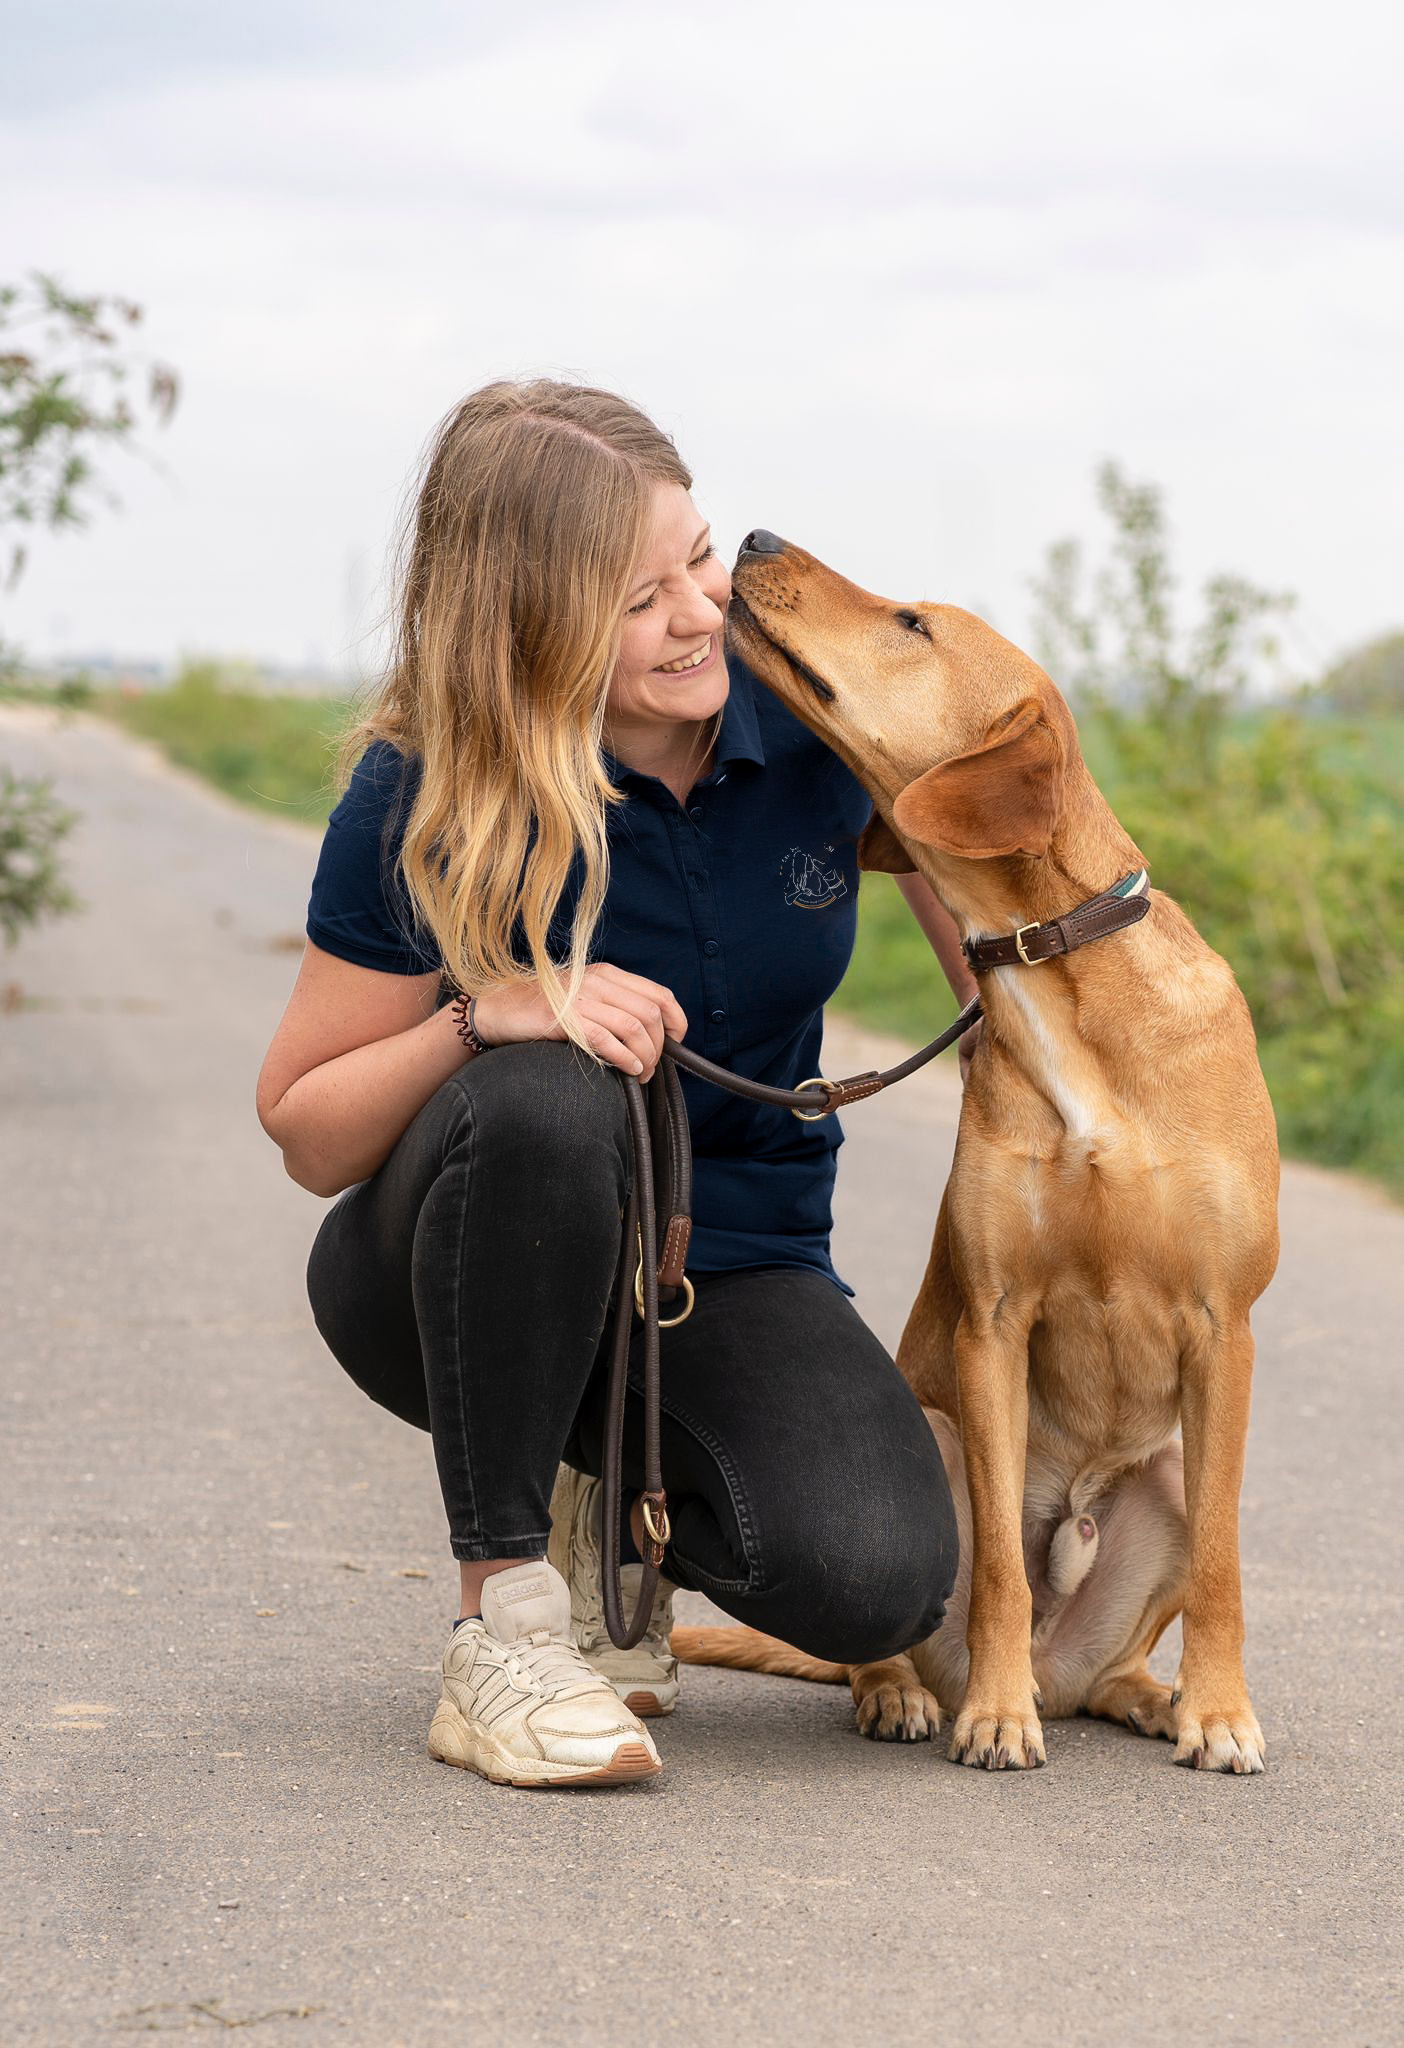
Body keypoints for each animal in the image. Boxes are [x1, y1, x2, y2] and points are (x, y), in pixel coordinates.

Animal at [675, 536, 1285, 1769]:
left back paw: (1150, 1695)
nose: (753, 540)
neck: (1059, 974)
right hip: (942, 1433)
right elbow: (1003, 1558)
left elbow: (1223, 1565)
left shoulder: (1223, 1330)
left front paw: (1221, 1711)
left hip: (1171, 1468)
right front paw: (996, 1716)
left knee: (1120, 1656)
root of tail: (1068, 1666)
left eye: (913, 624)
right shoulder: (994, 1325)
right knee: (900, 1639)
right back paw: (917, 1693)